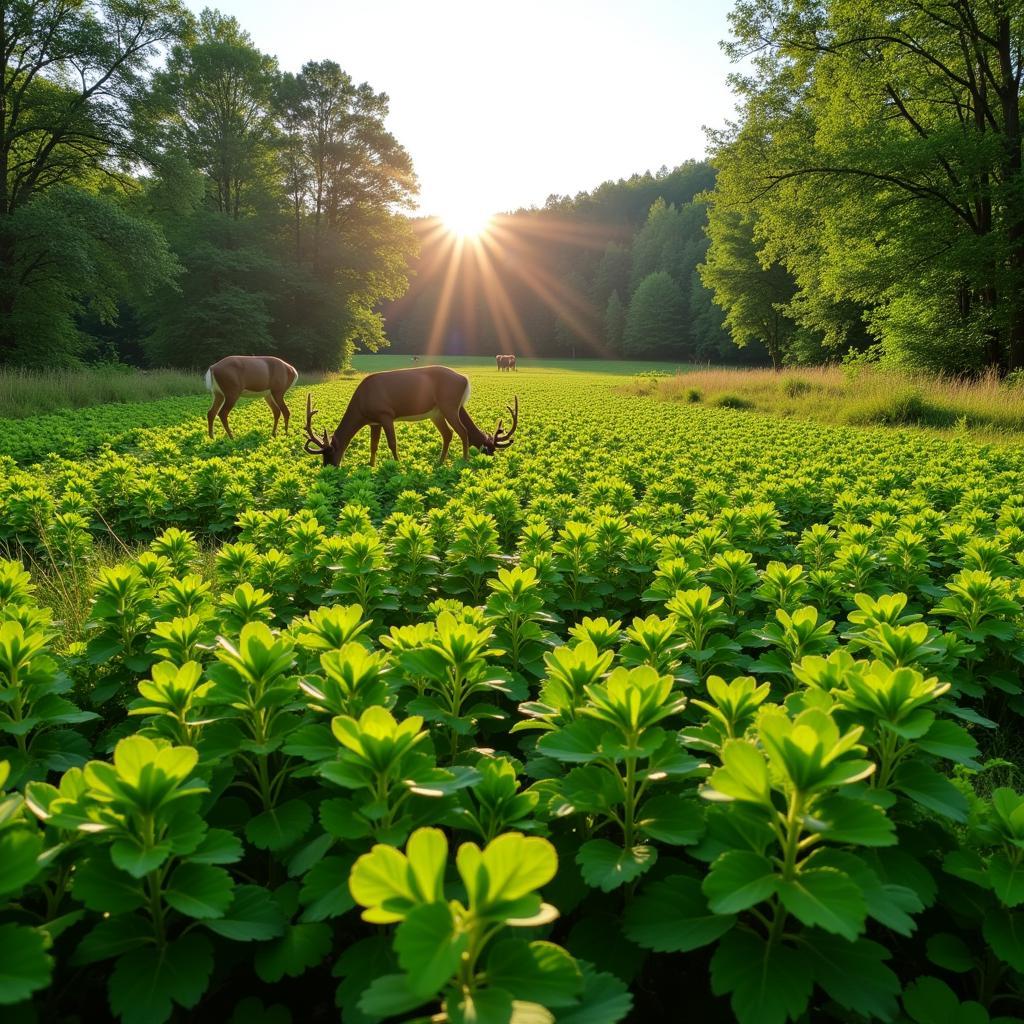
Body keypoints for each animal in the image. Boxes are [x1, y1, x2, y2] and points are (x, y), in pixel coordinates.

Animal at [299, 366, 516, 466]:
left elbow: (392, 443)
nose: (329, 469)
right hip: (438, 412)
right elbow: (373, 445)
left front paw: (398, 464)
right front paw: (371, 466)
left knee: (462, 432)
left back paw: (463, 461)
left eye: (329, 453)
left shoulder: (386, 413)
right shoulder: (374, 422)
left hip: (449, 405)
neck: (361, 407)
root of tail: (465, 379)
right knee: (448, 434)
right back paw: (439, 463)